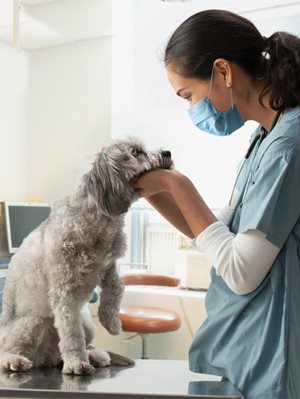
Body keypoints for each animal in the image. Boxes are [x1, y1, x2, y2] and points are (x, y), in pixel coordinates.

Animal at [0, 139, 173, 376]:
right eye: (136, 152)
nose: (168, 152)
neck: (100, 219)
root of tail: (47, 359)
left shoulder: (108, 267)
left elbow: (117, 288)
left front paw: (111, 322)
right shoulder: (65, 292)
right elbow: (72, 334)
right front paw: (77, 363)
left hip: (87, 325)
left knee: (76, 347)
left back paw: (96, 355)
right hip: (32, 323)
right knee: (11, 352)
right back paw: (15, 360)